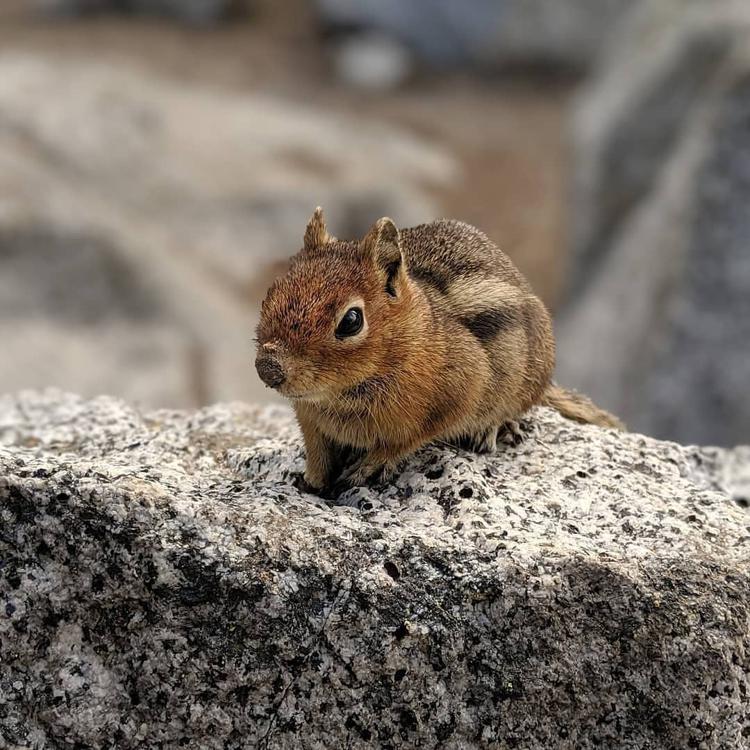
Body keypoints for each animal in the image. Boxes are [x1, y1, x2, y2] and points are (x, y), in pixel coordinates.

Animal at [256, 209, 624, 496]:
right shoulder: (308, 416)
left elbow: (404, 440)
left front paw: (369, 465)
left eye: (351, 321)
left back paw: (494, 427)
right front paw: (311, 481)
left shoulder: (455, 393)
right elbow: (317, 450)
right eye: (271, 293)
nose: (268, 369)